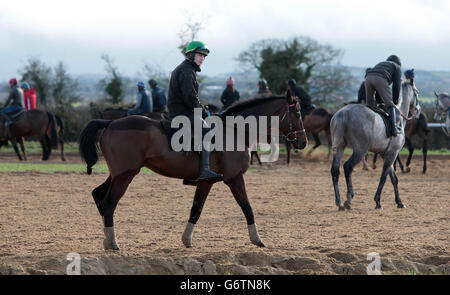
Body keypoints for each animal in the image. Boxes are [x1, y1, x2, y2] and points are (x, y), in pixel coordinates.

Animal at [79, 91, 308, 251]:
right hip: (125, 175)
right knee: (109, 203)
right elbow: (247, 208)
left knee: (98, 196)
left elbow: (196, 210)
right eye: (297, 113)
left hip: (117, 174)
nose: (303, 142)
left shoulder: (206, 182)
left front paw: (187, 240)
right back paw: (112, 242)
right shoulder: (234, 179)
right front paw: (257, 239)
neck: (235, 131)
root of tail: (110, 123)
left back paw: (107, 238)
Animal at [328, 81, 420, 210]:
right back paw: (349, 198)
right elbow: (384, 177)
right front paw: (378, 201)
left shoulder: (385, 154)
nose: (418, 110)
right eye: (416, 93)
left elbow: (394, 179)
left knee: (335, 171)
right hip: (360, 150)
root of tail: (344, 113)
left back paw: (340, 203)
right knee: (348, 167)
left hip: (339, 148)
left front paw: (399, 202)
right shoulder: (393, 153)